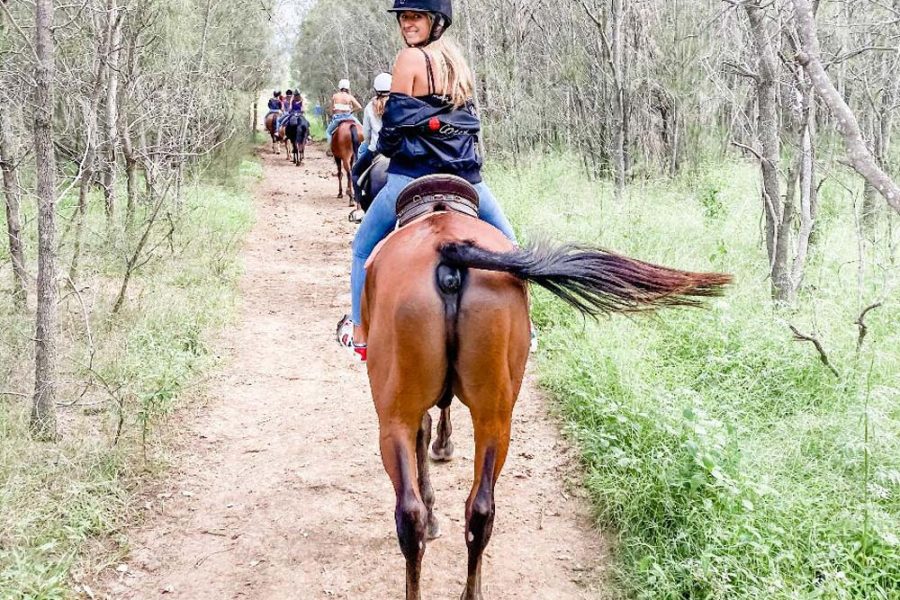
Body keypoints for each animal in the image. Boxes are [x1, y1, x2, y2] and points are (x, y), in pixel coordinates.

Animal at [360, 186, 732, 596]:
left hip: (396, 417)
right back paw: (472, 590)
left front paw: (439, 467)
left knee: (413, 515)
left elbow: (426, 432)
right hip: (493, 417)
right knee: (480, 510)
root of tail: (448, 251)